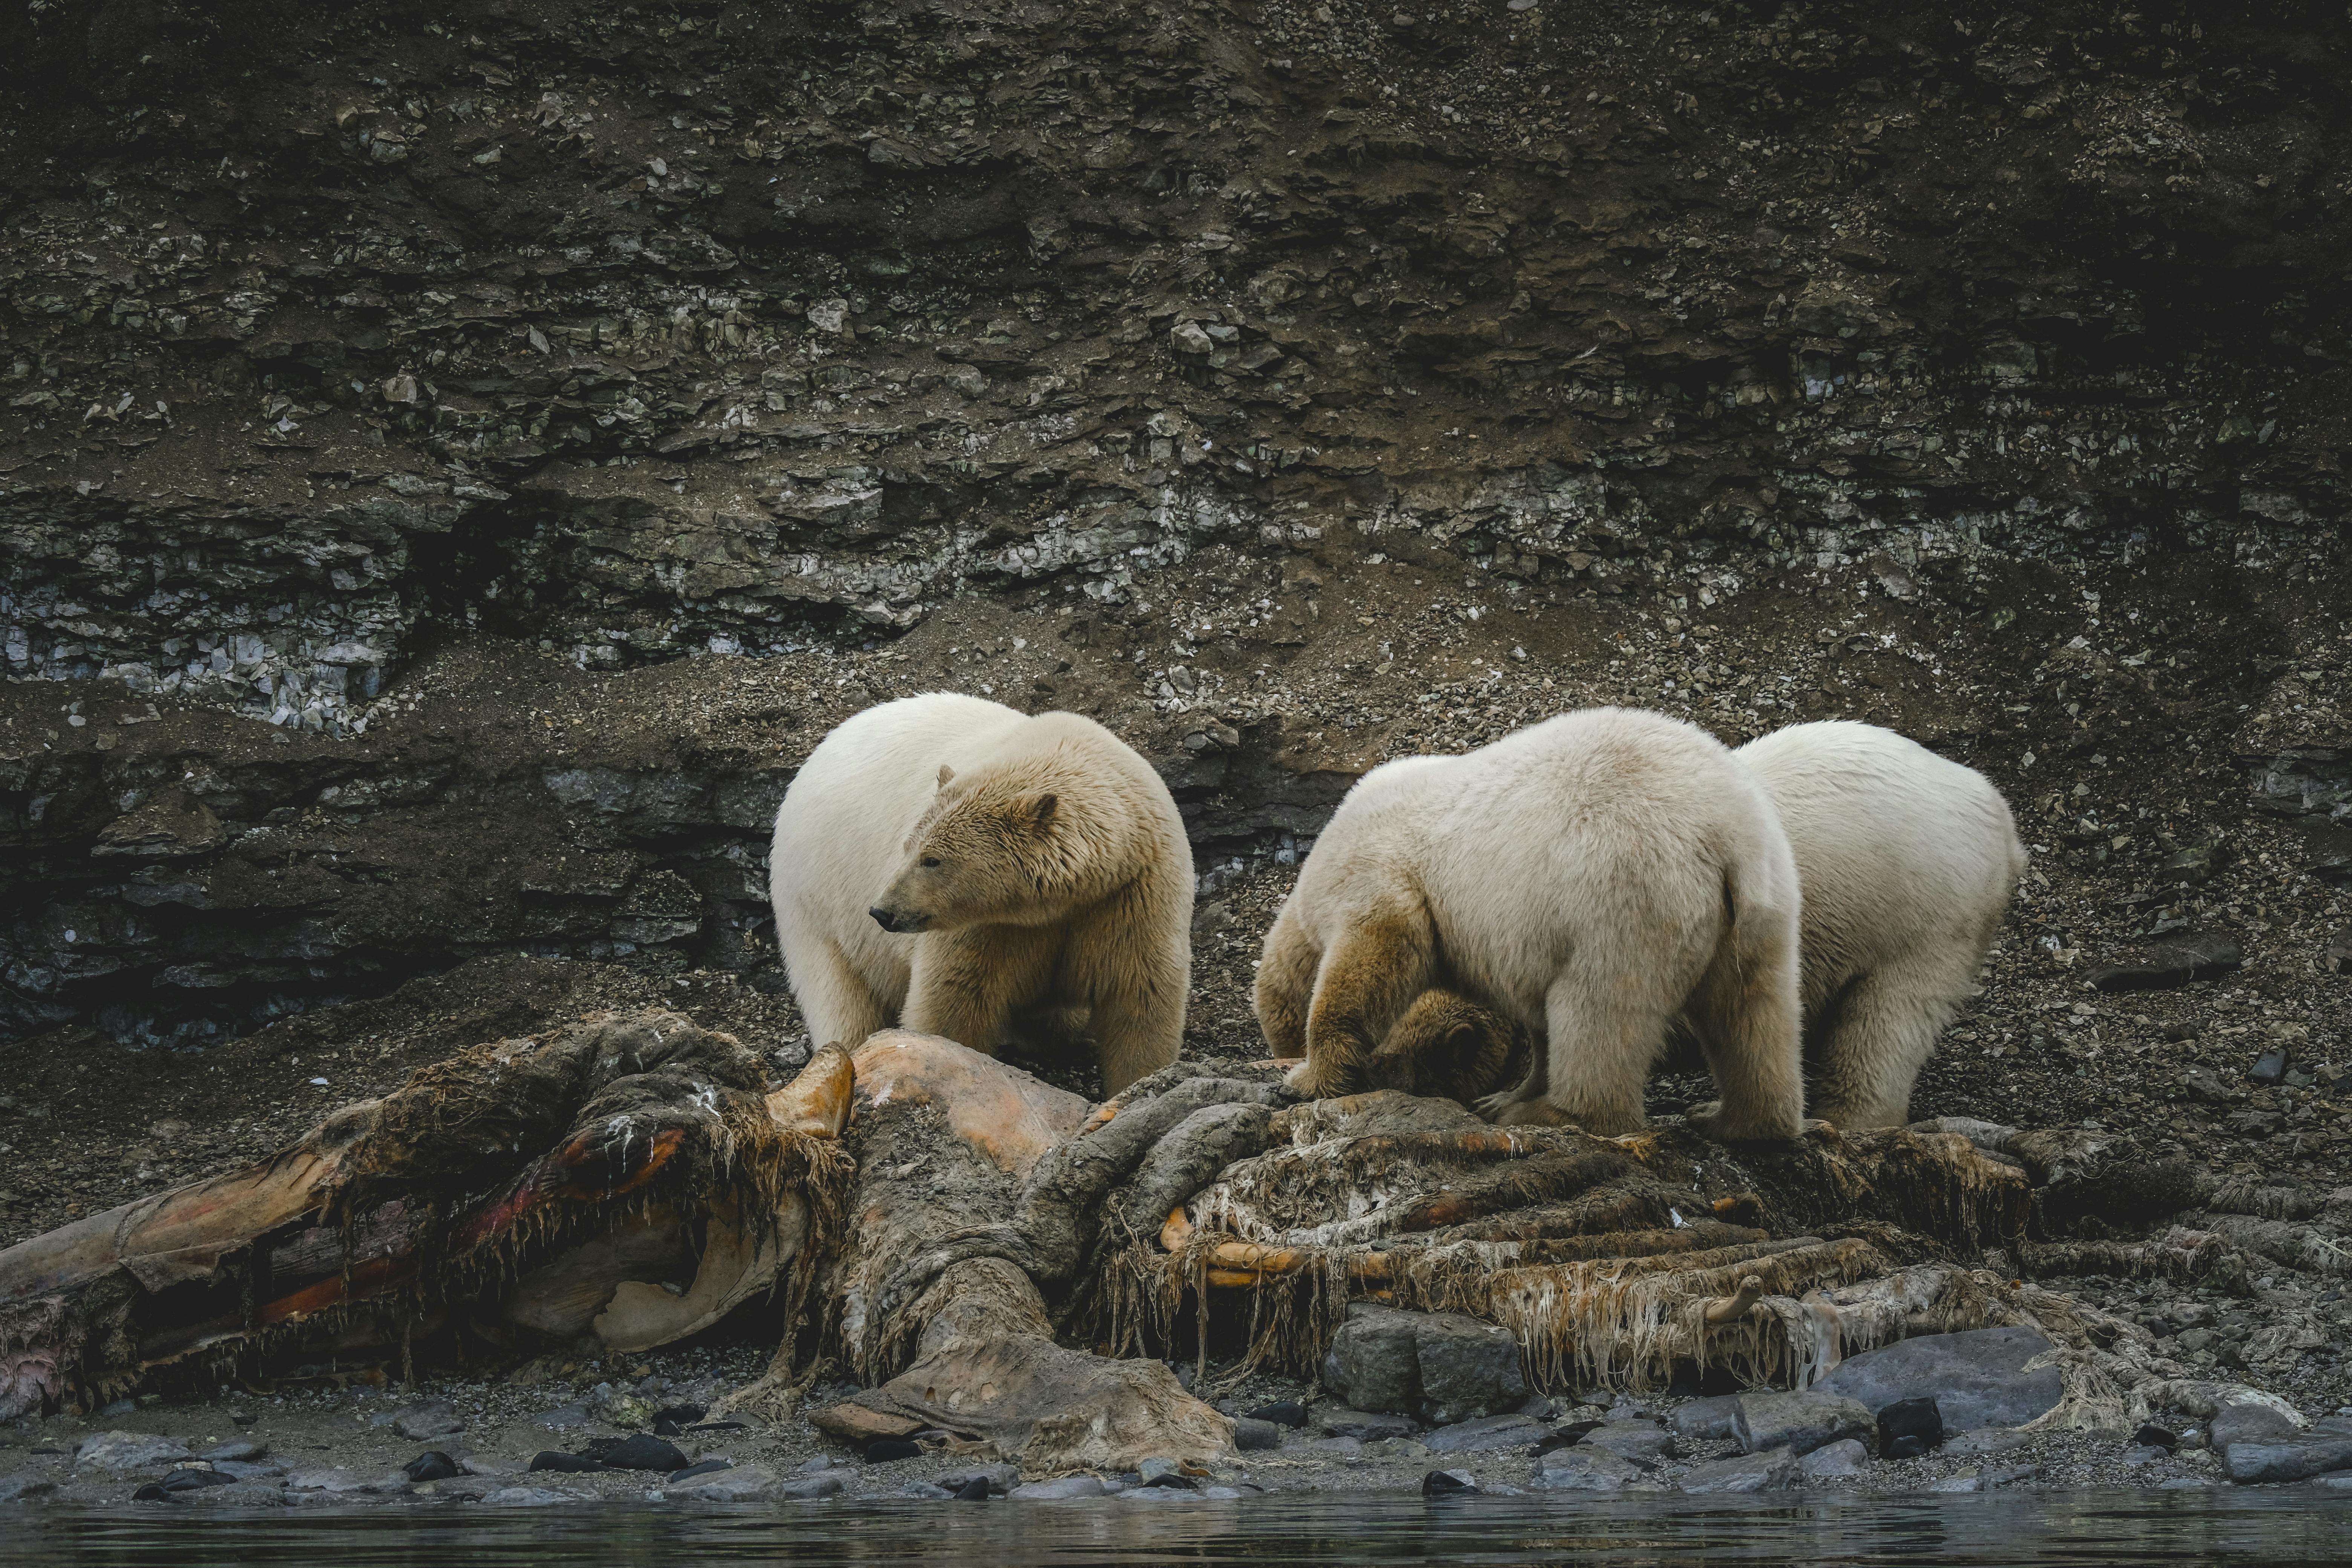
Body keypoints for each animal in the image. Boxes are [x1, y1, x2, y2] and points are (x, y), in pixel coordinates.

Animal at [771, 691, 1194, 1100]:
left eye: (932, 859)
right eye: (908, 848)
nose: (883, 911)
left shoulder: (1130, 895)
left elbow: (1139, 997)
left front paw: (1138, 1084)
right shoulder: (987, 926)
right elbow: (956, 998)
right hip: (816, 897)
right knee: (838, 992)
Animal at [1260, 710, 1806, 1142]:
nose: (1283, 1062)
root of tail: (1724, 834)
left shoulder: (1373, 870)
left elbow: (1375, 953)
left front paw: (1308, 1077)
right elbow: (1537, 1020)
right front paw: (1502, 1095)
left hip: (1623, 891)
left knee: (1600, 1009)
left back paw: (1560, 1114)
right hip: (1762, 903)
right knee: (1752, 1008)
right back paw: (1735, 1119)